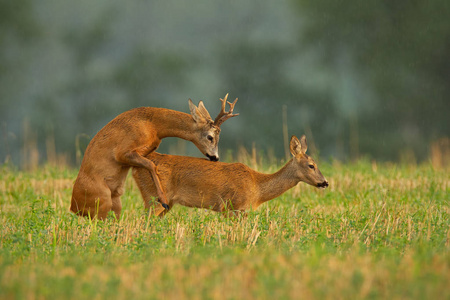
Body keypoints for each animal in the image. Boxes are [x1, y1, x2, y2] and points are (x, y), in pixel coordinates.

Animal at [69, 95, 239, 219]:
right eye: (210, 137)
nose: (215, 157)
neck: (154, 126)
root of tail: (73, 207)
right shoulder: (122, 152)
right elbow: (152, 165)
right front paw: (163, 201)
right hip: (102, 200)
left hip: (115, 203)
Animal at [132, 135, 328, 217]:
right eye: (311, 165)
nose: (325, 182)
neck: (257, 188)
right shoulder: (233, 206)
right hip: (154, 197)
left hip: (166, 203)